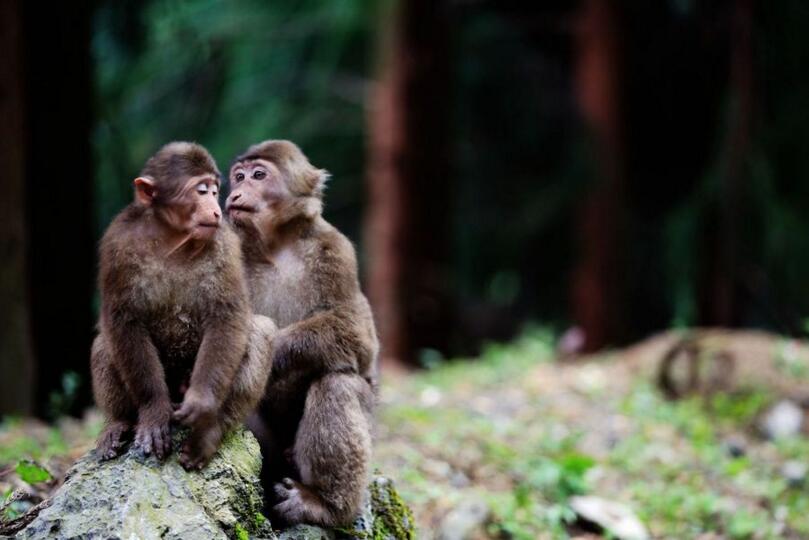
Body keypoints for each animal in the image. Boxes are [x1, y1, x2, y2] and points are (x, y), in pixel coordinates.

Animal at [92, 141, 278, 470]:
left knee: (260, 329)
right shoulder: (117, 243)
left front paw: (201, 402)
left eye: (214, 190)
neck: (171, 239)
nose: (216, 208)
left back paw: (211, 429)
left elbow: (227, 315)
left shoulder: (224, 243)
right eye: (200, 191)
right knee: (105, 342)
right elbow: (122, 320)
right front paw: (154, 412)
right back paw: (118, 422)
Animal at [224, 140, 378, 528]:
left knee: (338, 385)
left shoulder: (336, 250)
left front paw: (273, 348)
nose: (236, 192)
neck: (275, 246)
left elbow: (359, 336)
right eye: (238, 176)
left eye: (258, 175)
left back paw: (325, 505)